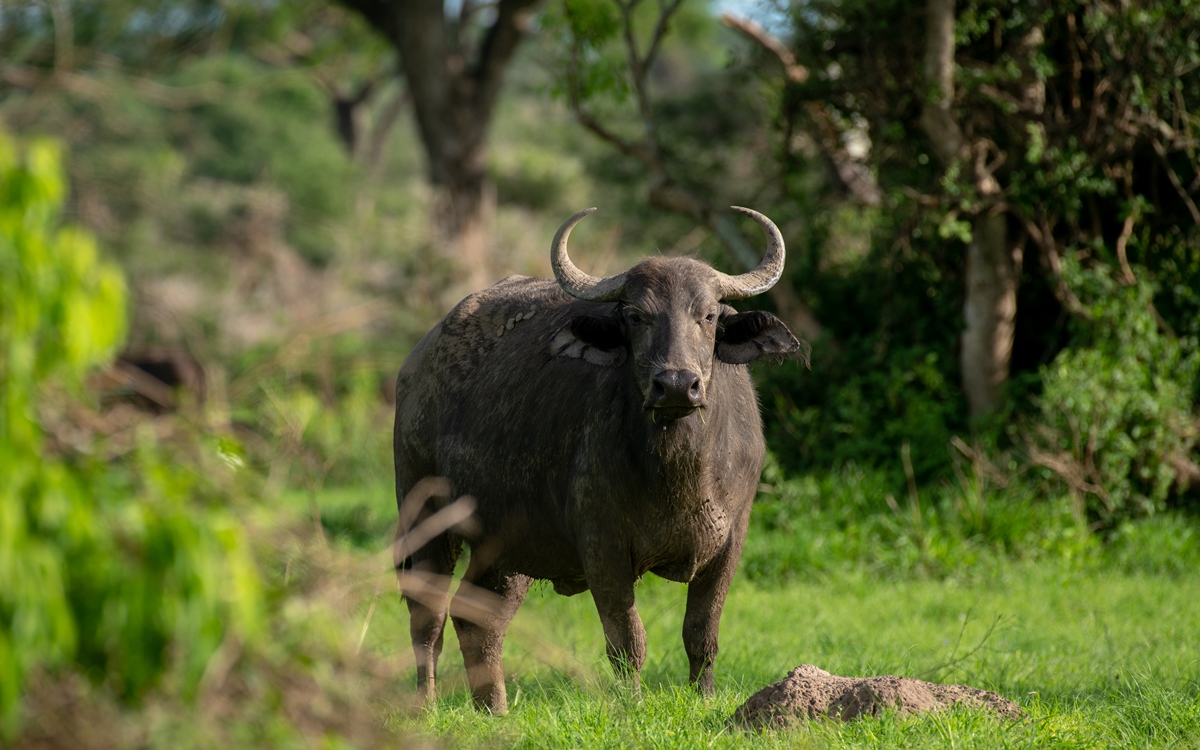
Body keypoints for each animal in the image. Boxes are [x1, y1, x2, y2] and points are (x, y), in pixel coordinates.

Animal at [391, 207, 806, 710]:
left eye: (708, 315)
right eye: (635, 315)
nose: (676, 384)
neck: (680, 473)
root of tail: (416, 362)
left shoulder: (730, 542)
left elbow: (701, 634)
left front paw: (704, 700)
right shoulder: (602, 546)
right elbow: (628, 640)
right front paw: (634, 705)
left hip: (507, 545)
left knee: (477, 618)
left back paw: (494, 711)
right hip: (424, 515)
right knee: (426, 614)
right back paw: (426, 705)